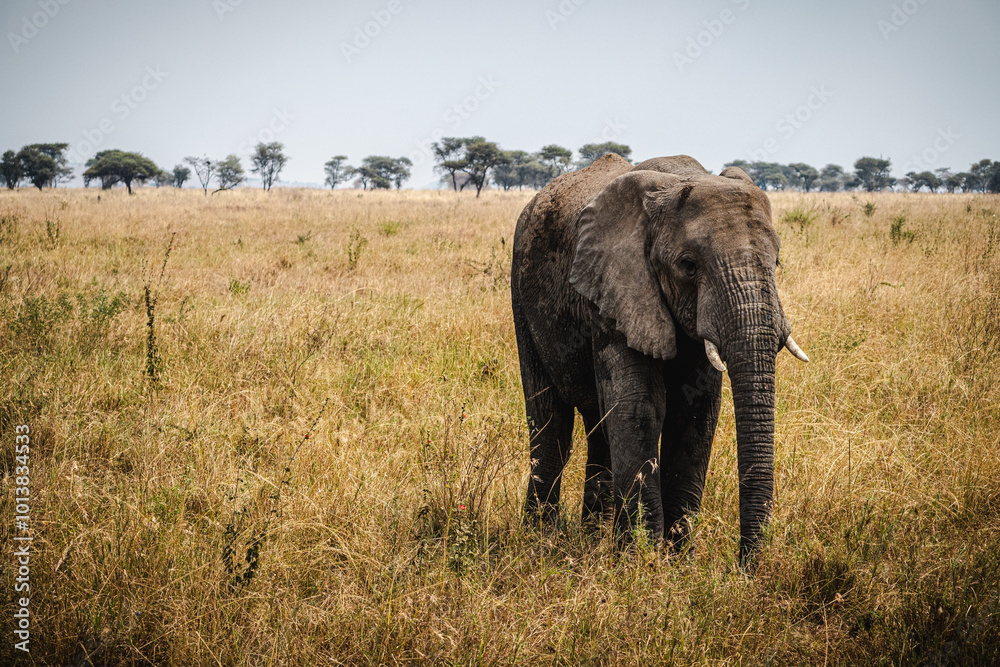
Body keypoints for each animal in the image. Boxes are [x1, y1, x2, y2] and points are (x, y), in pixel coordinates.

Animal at [510, 153, 809, 564]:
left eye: (776, 261)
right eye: (688, 265)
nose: (746, 568)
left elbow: (697, 412)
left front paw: (678, 562)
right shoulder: (615, 291)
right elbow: (640, 409)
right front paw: (644, 563)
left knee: (599, 428)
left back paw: (592, 542)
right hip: (522, 298)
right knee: (550, 424)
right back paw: (542, 543)